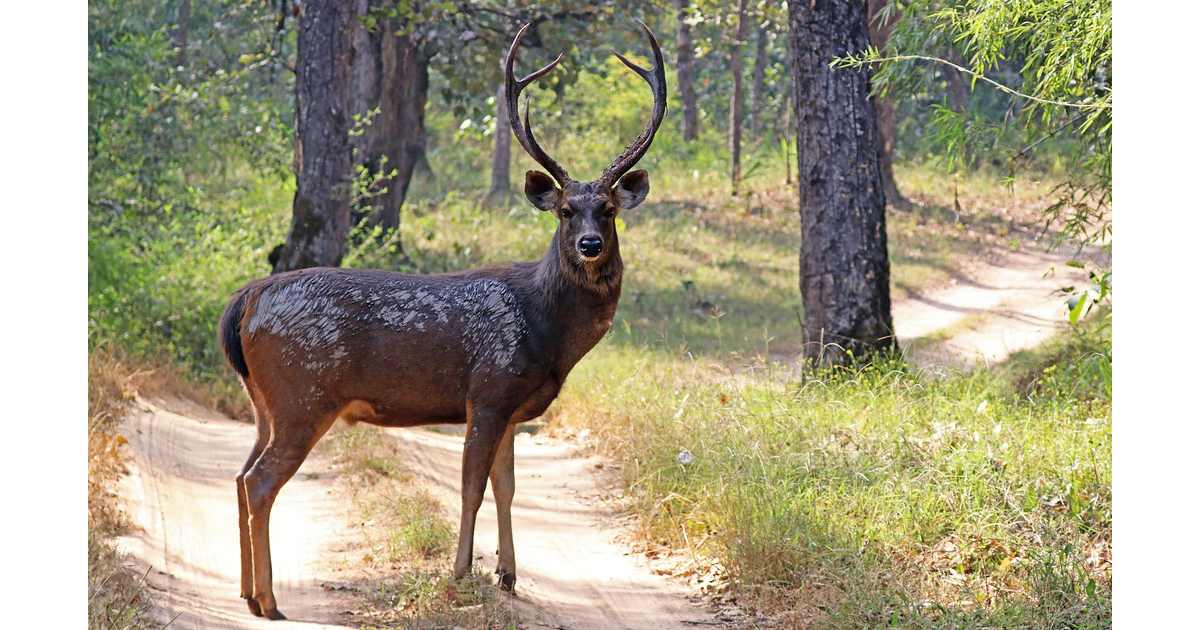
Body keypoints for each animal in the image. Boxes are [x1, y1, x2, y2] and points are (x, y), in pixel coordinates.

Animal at [220, 20, 672, 619]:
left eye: (610, 210)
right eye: (565, 211)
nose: (591, 245)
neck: (547, 331)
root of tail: (247, 299)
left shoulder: (513, 407)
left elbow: (507, 487)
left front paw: (508, 576)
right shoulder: (489, 389)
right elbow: (472, 486)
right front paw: (460, 575)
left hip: (264, 402)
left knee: (240, 475)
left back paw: (248, 592)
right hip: (303, 394)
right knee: (261, 482)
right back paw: (269, 600)